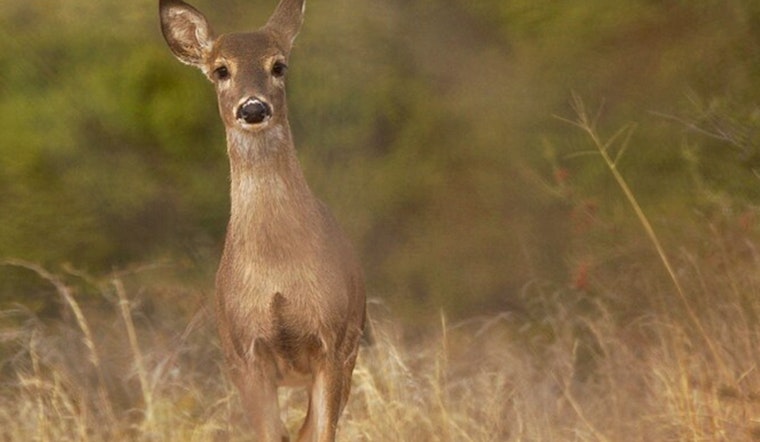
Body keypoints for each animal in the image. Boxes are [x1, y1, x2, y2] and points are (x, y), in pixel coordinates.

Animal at [158, 0, 367, 440]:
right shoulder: (244, 354)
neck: (276, 273)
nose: (253, 108)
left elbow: (321, 431)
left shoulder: (333, 342)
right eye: (221, 69)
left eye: (279, 65)